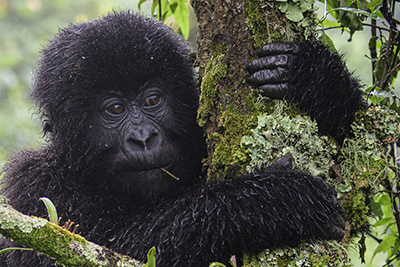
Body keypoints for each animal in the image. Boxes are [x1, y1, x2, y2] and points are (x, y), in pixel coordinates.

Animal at [0, 9, 364, 266]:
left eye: (152, 100)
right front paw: (271, 201)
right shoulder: (32, 187)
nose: (143, 138)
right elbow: (98, 249)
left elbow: (354, 183)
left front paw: (317, 78)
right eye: (115, 108)